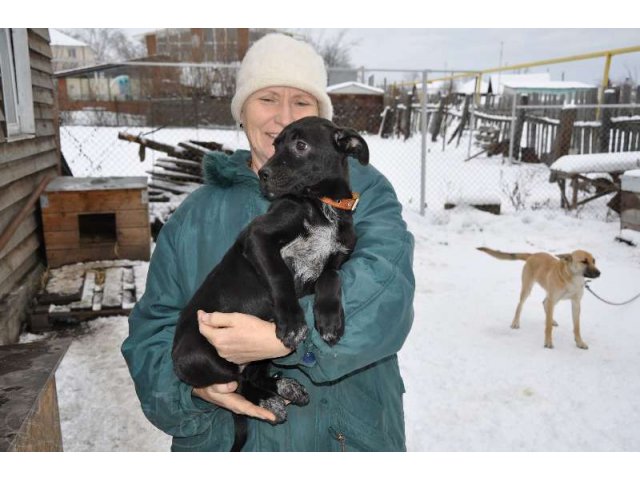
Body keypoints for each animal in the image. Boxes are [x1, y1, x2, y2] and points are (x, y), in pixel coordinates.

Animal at [171, 115, 370, 450]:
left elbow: (330, 277)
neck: (321, 204)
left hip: (256, 358)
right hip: (201, 356)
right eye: (275, 145)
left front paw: (329, 321)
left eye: (300, 145)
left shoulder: (334, 261)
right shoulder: (258, 238)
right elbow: (280, 276)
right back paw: (269, 399)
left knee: (250, 377)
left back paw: (285, 386)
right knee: (239, 384)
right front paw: (293, 324)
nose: (263, 175)